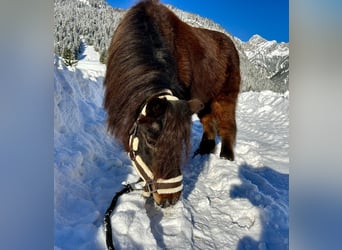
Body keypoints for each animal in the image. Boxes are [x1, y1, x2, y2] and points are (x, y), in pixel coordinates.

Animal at [103, 0, 239, 207]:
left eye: (181, 140)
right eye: (150, 140)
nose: (170, 200)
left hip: (225, 97)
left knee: (227, 125)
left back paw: (226, 156)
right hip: (204, 102)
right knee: (209, 125)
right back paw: (202, 152)